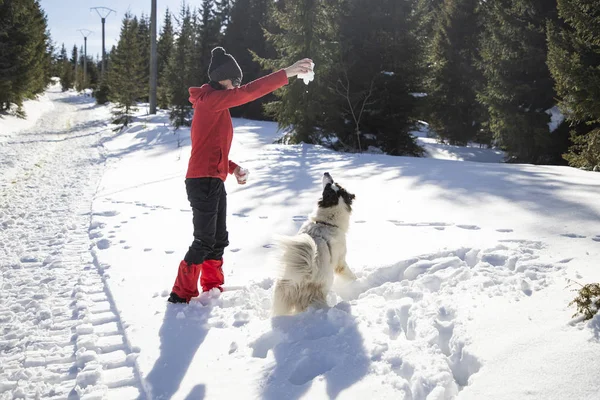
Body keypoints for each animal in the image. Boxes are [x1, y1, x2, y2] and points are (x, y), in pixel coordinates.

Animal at [274, 172, 358, 316]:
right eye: (330, 185)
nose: (326, 172)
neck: (326, 222)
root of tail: (304, 276)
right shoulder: (340, 262)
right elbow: (349, 274)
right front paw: (357, 281)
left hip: (281, 296)